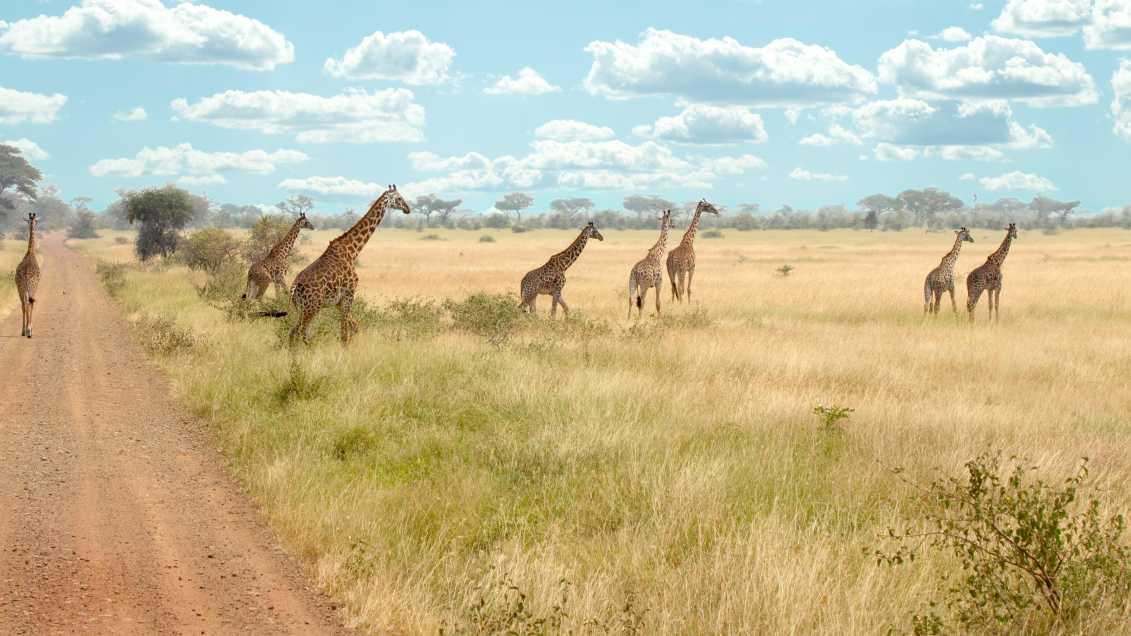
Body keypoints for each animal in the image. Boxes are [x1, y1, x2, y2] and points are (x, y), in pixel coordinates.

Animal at [287, 183, 411, 344]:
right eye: (399, 198)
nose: (408, 208)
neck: (352, 251)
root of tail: (294, 287)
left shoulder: (339, 302)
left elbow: (355, 327)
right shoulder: (349, 294)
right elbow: (344, 335)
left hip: (302, 308)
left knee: (293, 332)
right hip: (312, 307)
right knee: (301, 332)